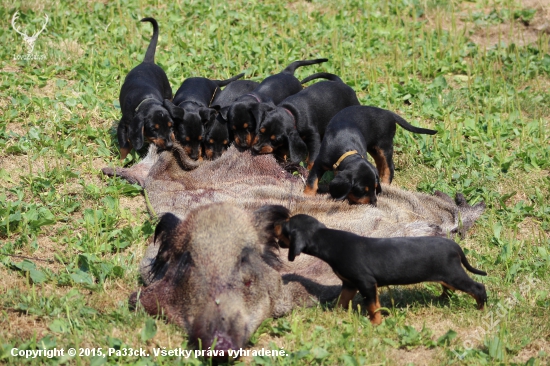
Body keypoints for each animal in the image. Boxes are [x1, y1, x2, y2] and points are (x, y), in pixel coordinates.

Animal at [117, 17, 178, 160]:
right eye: (154, 129)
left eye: (171, 125)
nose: (169, 145)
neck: (147, 100)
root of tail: (147, 62)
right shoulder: (123, 125)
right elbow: (124, 146)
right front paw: (122, 161)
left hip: (168, 92)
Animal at [278, 213, 490, 324]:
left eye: (284, 229)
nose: (275, 226)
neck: (329, 241)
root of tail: (454, 246)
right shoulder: (349, 284)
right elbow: (341, 301)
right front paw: (335, 315)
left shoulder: (366, 283)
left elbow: (373, 306)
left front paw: (375, 323)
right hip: (446, 277)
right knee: (449, 289)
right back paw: (442, 299)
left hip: (454, 275)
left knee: (478, 287)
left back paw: (481, 309)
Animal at [304, 104, 438, 204]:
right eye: (361, 191)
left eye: (375, 187)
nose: (374, 203)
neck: (344, 149)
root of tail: (388, 113)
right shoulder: (319, 163)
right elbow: (312, 181)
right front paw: (307, 196)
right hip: (375, 148)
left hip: (384, 145)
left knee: (389, 167)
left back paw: (386, 183)